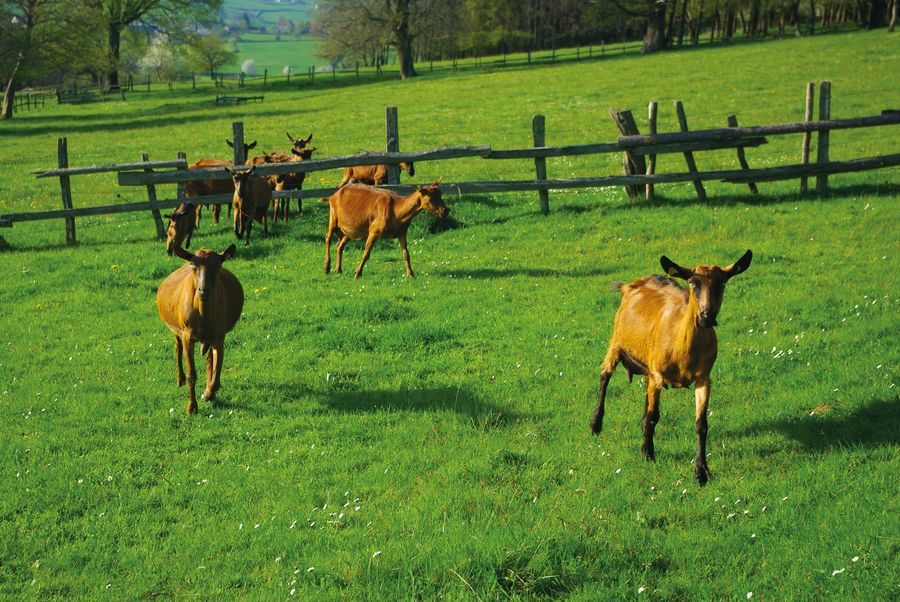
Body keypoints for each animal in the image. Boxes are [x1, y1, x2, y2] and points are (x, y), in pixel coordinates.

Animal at [156, 243, 244, 412]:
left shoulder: (219, 337)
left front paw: (208, 393)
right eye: (193, 265)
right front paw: (191, 407)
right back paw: (180, 379)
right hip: (176, 328)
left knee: (209, 359)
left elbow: (216, 371)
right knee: (177, 348)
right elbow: (192, 373)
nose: (204, 290)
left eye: (218, 265)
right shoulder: (187, 336)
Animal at [592, 251, 752, 486]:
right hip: (617, 340)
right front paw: (648, 454)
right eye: (693, 283)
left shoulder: (704, 378)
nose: (706, 316)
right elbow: (653, 417)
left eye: (722, 282)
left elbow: (701, 425)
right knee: (605, 375)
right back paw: (595, 424)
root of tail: (630, 285)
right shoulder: (658, 375)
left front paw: (701, 472)